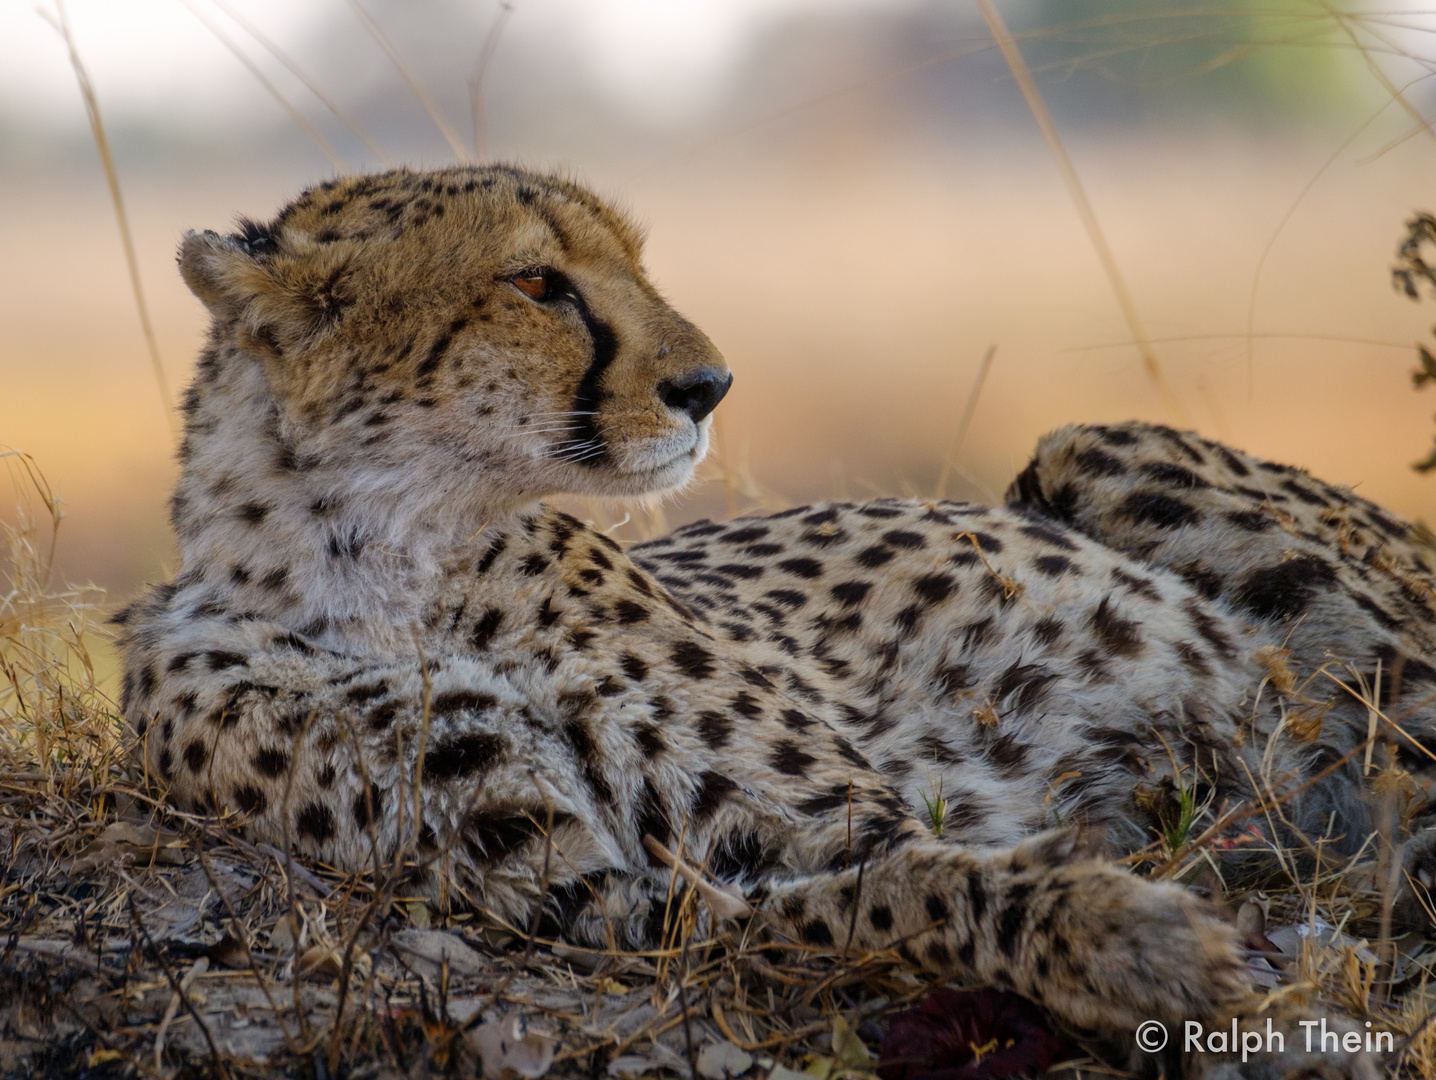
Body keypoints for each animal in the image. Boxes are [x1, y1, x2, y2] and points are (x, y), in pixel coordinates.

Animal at [120, 164, 1424, 1068]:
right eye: (536, 283)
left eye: (635, 264)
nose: (708, 386)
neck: (378, 556)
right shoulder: (604, 903)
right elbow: (873, 899)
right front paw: (1122, 935)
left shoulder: (841, 813)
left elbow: (893, 869)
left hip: (1102, 457)